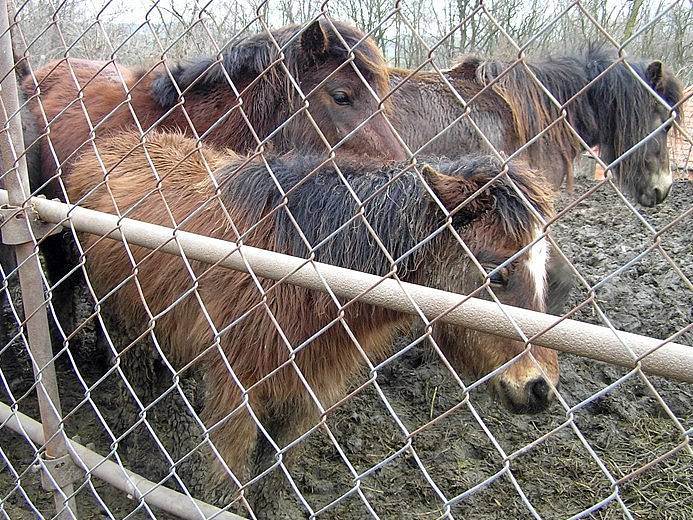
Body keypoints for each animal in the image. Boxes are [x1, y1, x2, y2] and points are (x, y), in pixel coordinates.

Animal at [66, 131, 556, 500]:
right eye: (496, 272)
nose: (540, 388)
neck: (307, 273)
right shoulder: (237, 393)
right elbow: (226, 485)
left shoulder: (308, 394)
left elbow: (271, 480)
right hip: (118, 313)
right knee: (128, 371)